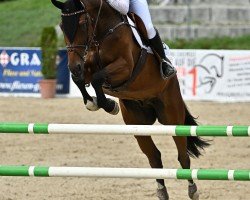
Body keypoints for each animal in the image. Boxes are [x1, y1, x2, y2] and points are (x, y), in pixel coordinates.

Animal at [50, 0, 209, 199]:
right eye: (62, 26)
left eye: (82, 24)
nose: (73, 65)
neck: (101, 33)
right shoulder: (87, 66)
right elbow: (79, 79)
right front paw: (93, 103)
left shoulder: (124, 67)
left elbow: (97, 79)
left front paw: (109, 105)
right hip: (137, 124)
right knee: (154, 157)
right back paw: (161, 191)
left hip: (172, 117)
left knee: (183, 156)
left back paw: (192, 189)